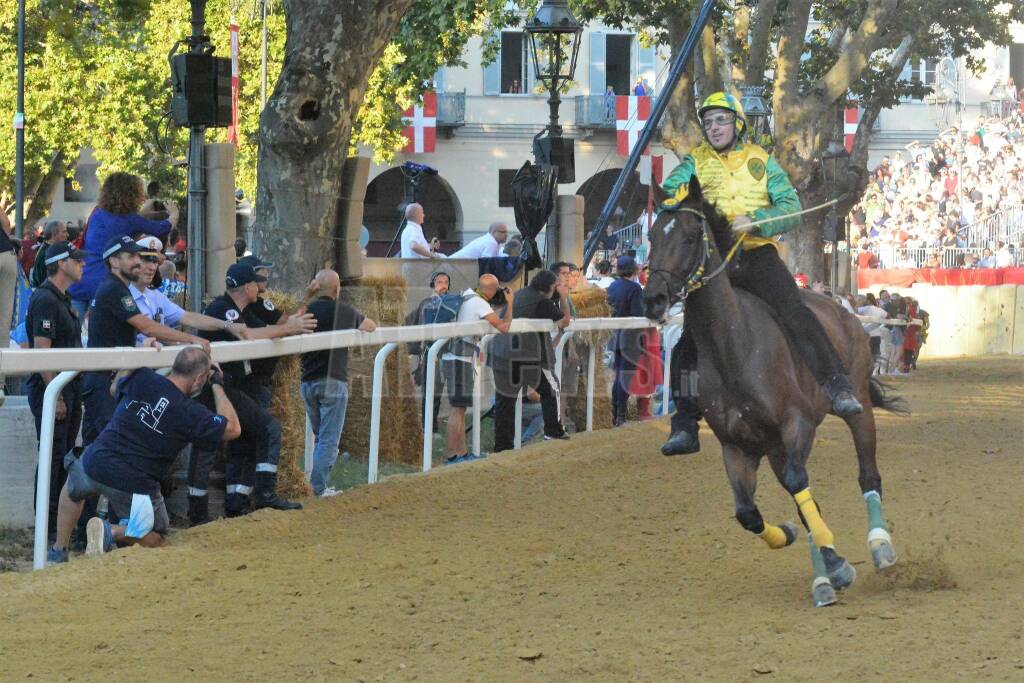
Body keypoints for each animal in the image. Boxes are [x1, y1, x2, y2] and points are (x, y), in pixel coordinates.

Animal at [643, 178, 909, 610]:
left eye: (689, 236)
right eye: (651, 236)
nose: (653, 299)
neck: (734, 347)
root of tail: (846, 312)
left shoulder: (796, 424)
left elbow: (801, 484)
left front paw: (836, 561)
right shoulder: (738, 445)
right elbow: (749, 513)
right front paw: (810, 550)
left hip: (858, 410)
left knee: (868, 474)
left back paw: (880, 546)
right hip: (772, 448)